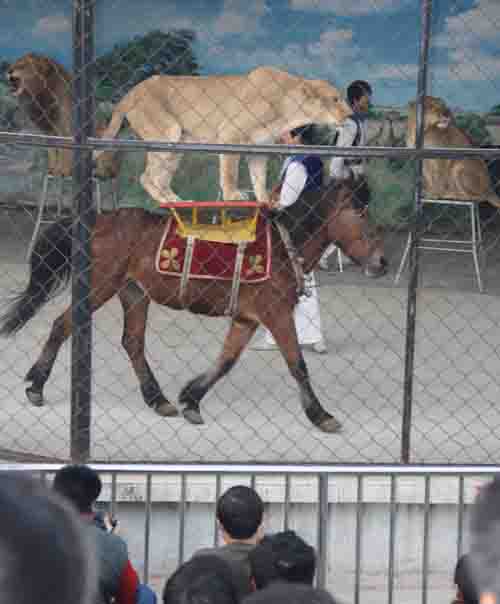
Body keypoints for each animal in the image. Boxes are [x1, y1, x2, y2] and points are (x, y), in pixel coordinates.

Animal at [0, 182, 386, 432]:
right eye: (361, 215)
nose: (381, 262)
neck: (282, 245)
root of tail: (97, 219)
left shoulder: (246, 319)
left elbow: (225, 361)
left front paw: (191, 398)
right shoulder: (275, 314)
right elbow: (298, 366)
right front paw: (321, 415)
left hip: (134, 292)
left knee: (132, 342)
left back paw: (158, 398)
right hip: (98, 287)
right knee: (63, 325)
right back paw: (36, 385)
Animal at [94, 67, 352, 202]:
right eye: (335, 99)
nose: (350, 114)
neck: (288, 108)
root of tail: (131, 91)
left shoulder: (259, 150)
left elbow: (259, 178)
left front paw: (265, 201)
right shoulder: (230, 134)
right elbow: (229, 173)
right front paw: (233, 195)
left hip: (177, 145)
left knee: (158, 177)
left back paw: (176, 200)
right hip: (168, 132)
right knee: (146, 177)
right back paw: (168, 201)